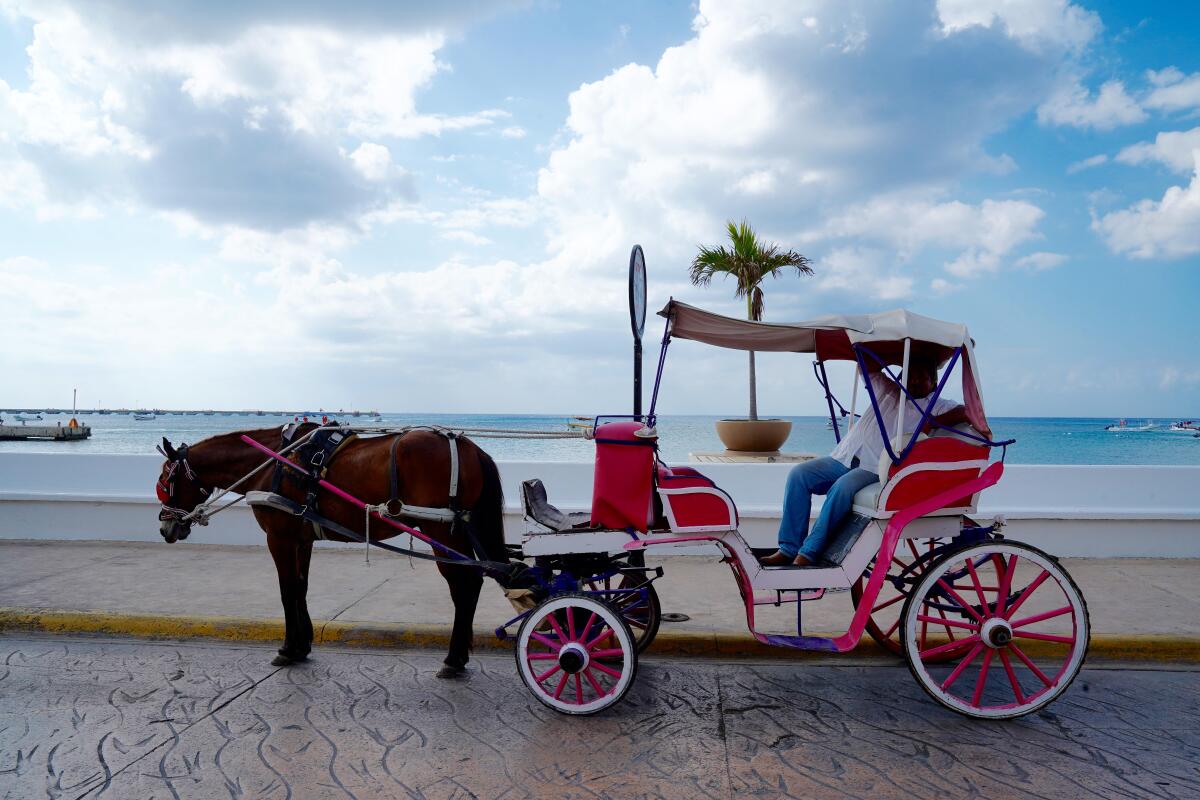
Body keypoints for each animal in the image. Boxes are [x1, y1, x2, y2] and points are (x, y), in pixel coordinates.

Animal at [152, 424, 508, 676]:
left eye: (165, 480)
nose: (166, 528)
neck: (273, 462)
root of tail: (469, 447)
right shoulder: (302, 538)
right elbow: (301, 587)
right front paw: (303, 645)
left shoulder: (279, 538)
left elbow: (286, 590)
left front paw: (287, 648)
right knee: (473, 582)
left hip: (440, 531)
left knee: (465, 585)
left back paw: (454, 658)